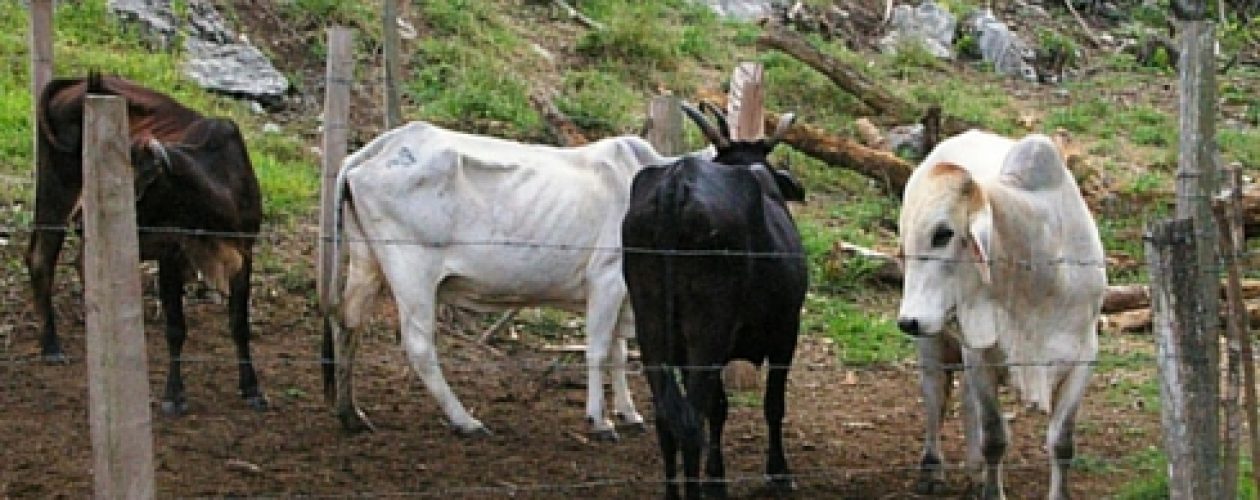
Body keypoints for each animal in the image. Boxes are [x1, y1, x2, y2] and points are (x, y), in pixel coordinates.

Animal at [29, 73, 267, 413]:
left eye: (138, 185)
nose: (83, 220)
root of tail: (72, 82)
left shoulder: (244, 254)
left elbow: (239, 325)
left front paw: (251, 389)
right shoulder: (171, 256)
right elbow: (176, 328)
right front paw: (174, 395)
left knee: (80, 260)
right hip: (55, 193)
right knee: (41, 258)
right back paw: (51, 346)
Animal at [619, 103, 806, 496]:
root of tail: (677, 182)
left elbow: (718, 408)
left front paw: (716, 477)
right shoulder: (786, 330)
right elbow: (773, 403)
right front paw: (778, 471)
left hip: (652, 328)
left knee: (668, 416)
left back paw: (673, 493)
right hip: (708, 330)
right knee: (690, 420)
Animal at [897, 129, 1103, 498]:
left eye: (943, 234)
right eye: (906, 240)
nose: (908, 321)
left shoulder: (1084, 355)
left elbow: (1062, 442)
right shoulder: (979, 355)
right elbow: (994, 436)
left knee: (965, 401)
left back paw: (975, 469)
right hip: (934, 341)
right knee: (935, 397)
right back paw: (933, 469)